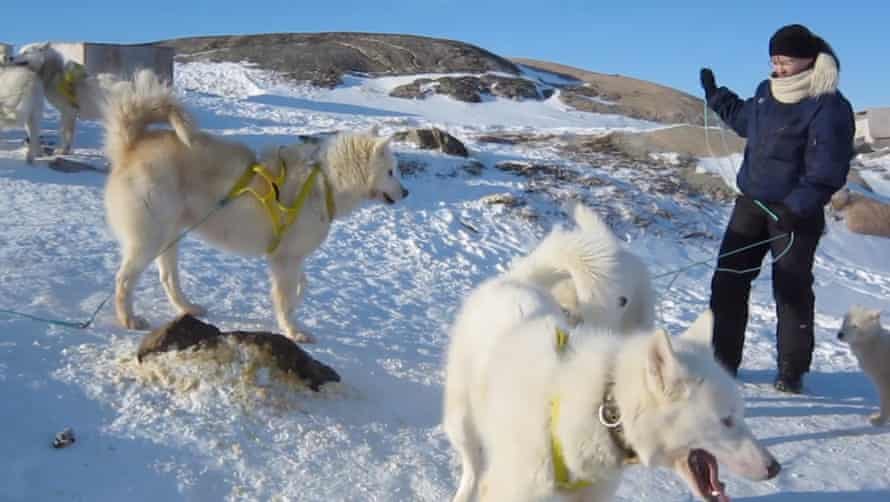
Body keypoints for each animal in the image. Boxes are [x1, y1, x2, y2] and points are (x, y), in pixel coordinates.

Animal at [105, 69, 410, 342]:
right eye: (391, 172)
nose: (406, 192)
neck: (326, 179)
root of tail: (132, 144)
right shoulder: (285, 259)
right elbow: (286, 299)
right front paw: (293, 331)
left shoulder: (290, 257)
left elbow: (301, 286)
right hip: (149, 238)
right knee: (123, 280)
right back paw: (129, 318)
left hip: (170, 237)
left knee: (168, 278)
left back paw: (188, 308)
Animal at [444, 296, 776, 500]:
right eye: (726, 421)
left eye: (741, 415)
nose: (775, 467)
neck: (605, 405)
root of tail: (511, 281)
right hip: (463, 427)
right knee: (472, 470)